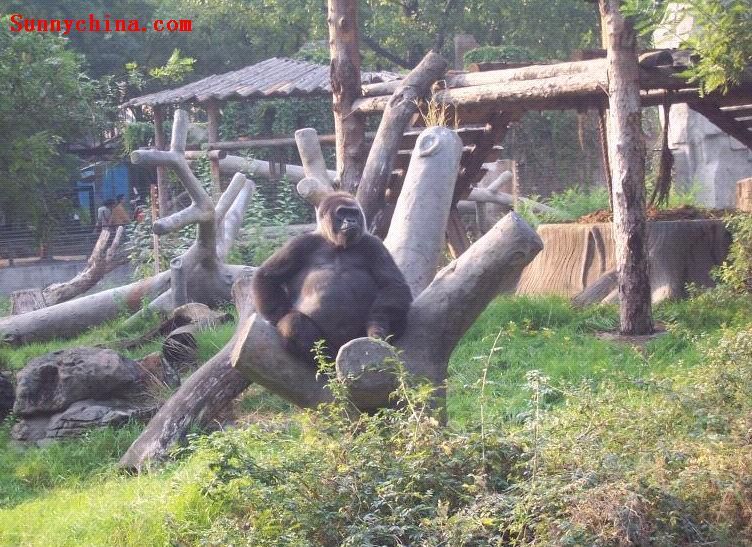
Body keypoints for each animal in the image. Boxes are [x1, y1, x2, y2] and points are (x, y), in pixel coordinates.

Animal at [251, 191, 412, 366]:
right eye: (342, 212)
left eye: (353, 213)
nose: (351, 220)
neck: (335, 244)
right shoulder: (300, 243)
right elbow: (268, 276)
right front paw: (277, 316)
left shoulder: (374, 244)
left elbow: (393, 286)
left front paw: (377, 325)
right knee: (294, 323)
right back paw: (325, 361)